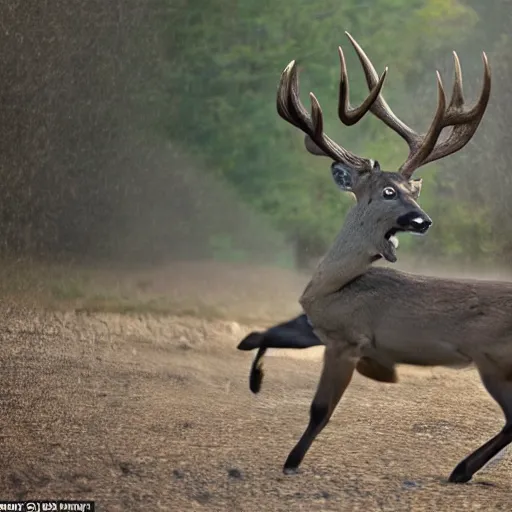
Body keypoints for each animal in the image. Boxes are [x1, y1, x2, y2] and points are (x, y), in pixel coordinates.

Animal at [239, 33, 504, 484]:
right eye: (390, 191)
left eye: (413, 191)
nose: (423, 221)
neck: (327, 290)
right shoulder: (319, 327)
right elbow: (264, 335)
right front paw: (254, 375)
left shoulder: (349, 338)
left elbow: (320, 410)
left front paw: (291, 461)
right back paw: (462, 469)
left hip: (493, 358)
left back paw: (461, 468)